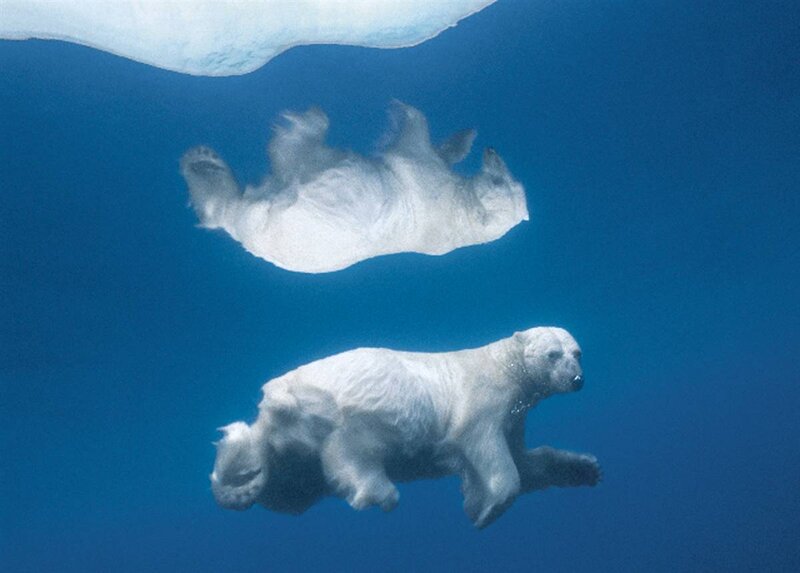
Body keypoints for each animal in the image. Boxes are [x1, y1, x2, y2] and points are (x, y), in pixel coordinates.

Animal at [180, 101, 528, 273]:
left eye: (499, 180)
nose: (492, 153)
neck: (459, 216)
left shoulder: (424, 181)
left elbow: (414, 138)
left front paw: (401, 110)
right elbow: (439, 151)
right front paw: (465, 137)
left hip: (281, 217)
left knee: (286, 164)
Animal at [210, 326, 600, 528]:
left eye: (578, 352)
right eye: (553, 355)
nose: (577, 379)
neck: (502, 365)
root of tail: (275, 400)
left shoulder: (515, 415)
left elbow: (528, 461)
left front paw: (585, 469)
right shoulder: (483, 399)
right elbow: (487, 450)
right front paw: (485, 509)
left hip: (293, 449)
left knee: (287, 487)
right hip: (349, 411)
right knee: (352, 452)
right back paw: (378, 492)